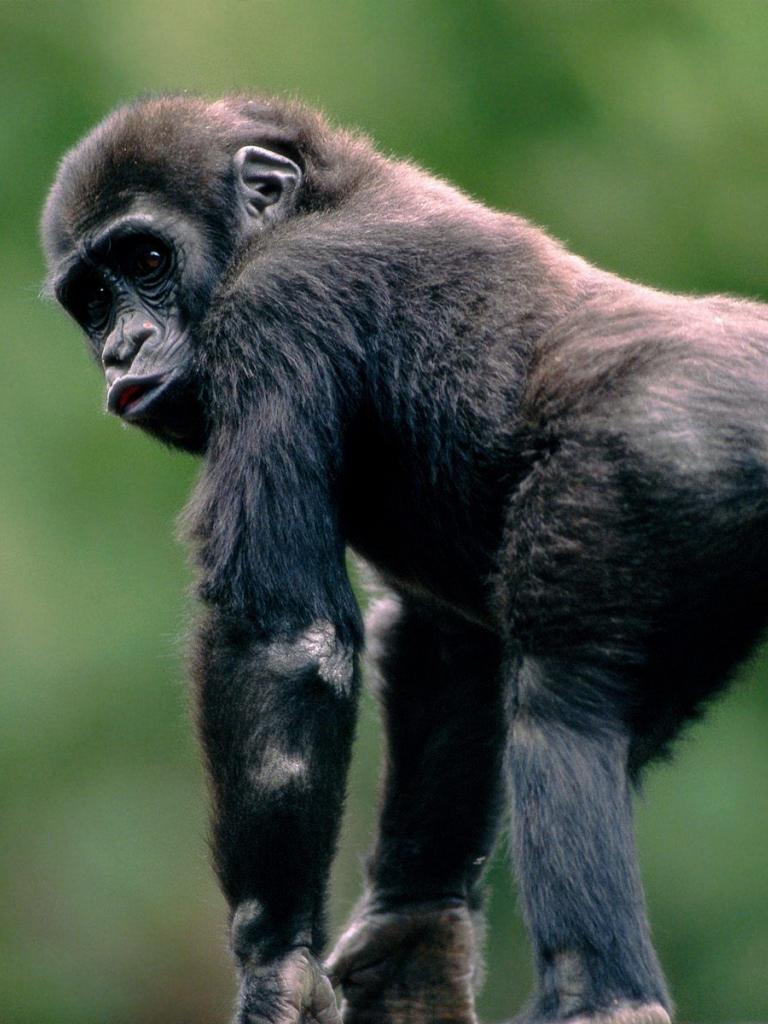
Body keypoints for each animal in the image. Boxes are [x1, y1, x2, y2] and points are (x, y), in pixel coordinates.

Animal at [41, 94, 768, 1024]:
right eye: (93, 299)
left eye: (148, 259)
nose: (121, 350)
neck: (315, 197)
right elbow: (447, 641)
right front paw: (412, 934)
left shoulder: (275, 301)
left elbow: (285, 640)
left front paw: (275, 961)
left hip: (659, 446)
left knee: (560, 712)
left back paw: (601, 999)